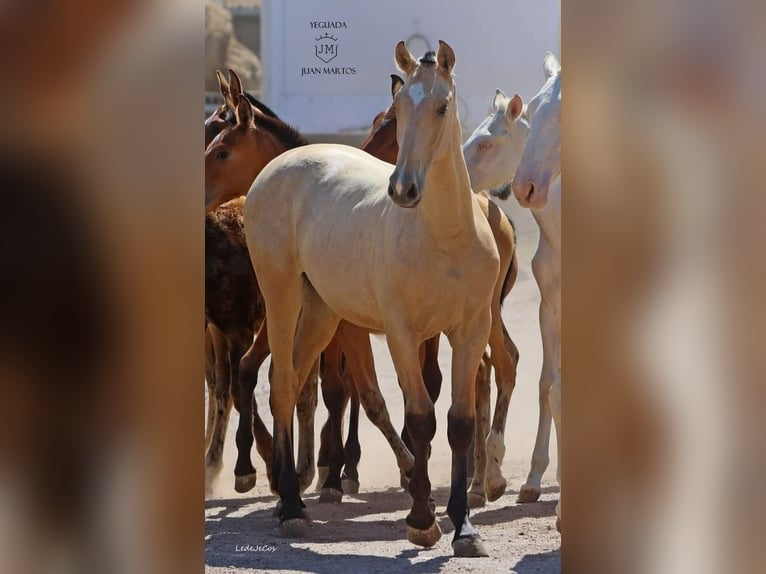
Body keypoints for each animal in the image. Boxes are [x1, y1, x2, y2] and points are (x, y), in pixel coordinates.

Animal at [243, 41, 500, 560]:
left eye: (442, 106)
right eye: (399, 107)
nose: (403, 189)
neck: (445, 237)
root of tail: (275, 169)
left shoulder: (470, 331)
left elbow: (460, 423)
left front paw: (464, 527)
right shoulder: (402, 334)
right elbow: (419, 420)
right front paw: (422, 521)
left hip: (321, 311)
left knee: (295, 382)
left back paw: (289, 497)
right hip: (281, 295)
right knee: (282, 383)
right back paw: (292, 508)